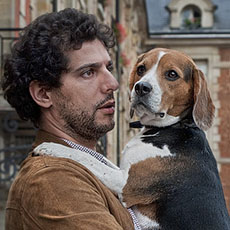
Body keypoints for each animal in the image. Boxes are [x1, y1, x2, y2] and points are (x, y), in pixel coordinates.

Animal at [34, 47, 230, 229]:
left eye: (172, 74)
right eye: (142, 68)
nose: (141, 87)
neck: (172, 127)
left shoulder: (125, 183)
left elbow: (87, 158)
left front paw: (51, 147)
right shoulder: (124, 169)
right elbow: (100, 159)